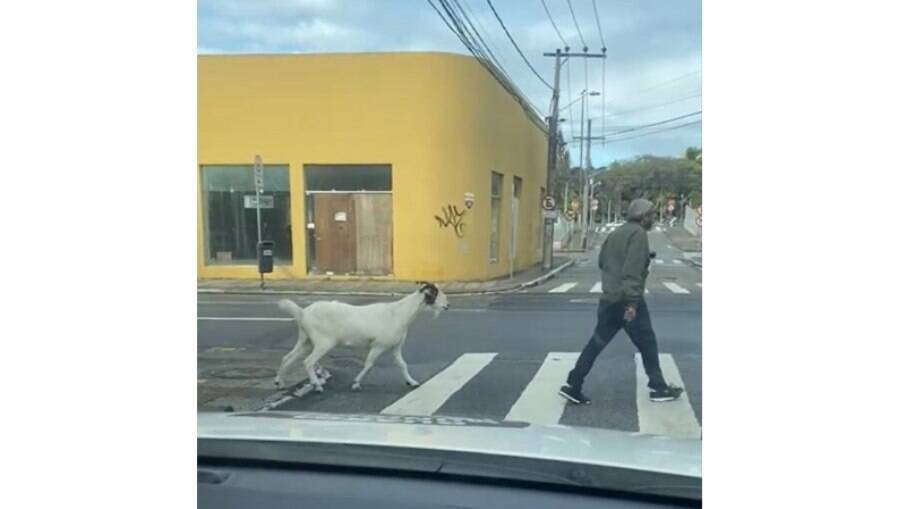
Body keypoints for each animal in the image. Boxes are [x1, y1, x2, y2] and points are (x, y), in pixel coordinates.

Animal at [272, 280, 448, 390]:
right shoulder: (378, 345)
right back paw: (317, 385)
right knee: (308, 361)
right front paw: (356, 383)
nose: (447, 305)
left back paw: (280, 382)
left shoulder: (395, 346)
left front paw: (412, 382)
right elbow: (369, 365)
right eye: (435, 293)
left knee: (288, 357)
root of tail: (302, 313)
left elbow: (402, 364)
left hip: (306, 340)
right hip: (324, 341)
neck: (398, 313)